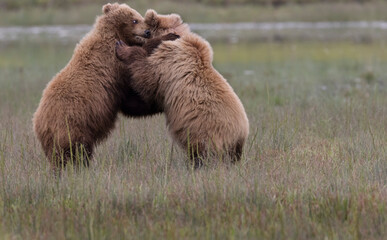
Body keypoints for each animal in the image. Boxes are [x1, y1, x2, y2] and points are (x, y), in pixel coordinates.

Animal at [33, 2, 165, 171]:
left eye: (140, 17)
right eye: (135, 20)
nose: (147, 32)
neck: (114, 34)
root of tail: (39, 123)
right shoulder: (113, 63)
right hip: (72, 125)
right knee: (77, 151)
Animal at [116, 10, 249, 167]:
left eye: (142, 25)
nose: (126, 39)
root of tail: (241, 134)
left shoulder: (166, 65)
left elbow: (147, 79)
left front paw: (123, 49)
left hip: (204, 131)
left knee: (202, 152)